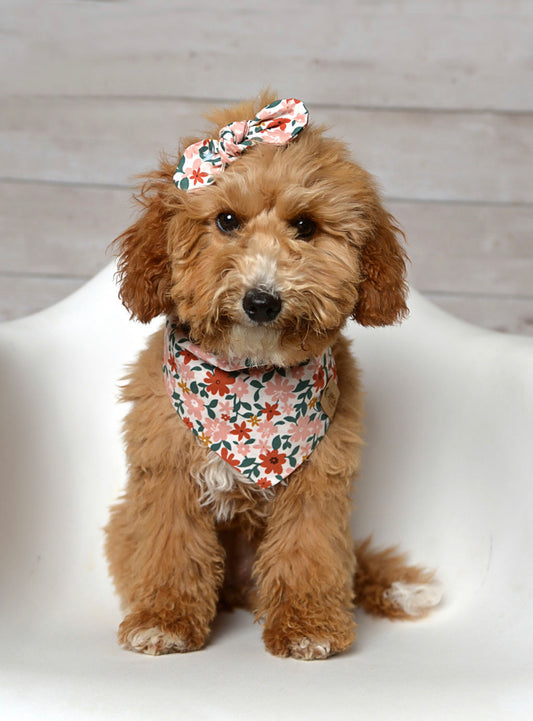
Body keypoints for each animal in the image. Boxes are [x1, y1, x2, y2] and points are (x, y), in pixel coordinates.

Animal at [105, 94, 440, 660]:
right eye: (226, 220)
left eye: (304, 225)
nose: (262, 300)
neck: (250, 380)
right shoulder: (166, 474)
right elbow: (170, 550)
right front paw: (163, 621)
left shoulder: (319, 483)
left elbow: (309, 553)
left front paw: (308, 627)